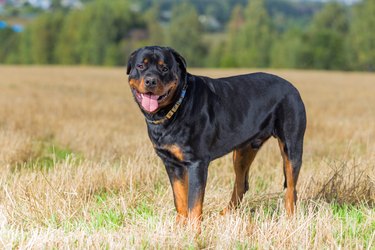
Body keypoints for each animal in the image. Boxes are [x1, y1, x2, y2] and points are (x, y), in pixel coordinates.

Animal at [126, 46, 308, 226]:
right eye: (141, 66)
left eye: (164, 68)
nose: (150, 81)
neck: (175, 108)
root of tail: (292, 88)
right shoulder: (171, 163)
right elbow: (180, 199)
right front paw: (180, 227)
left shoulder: (197, 163)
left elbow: (194, 203)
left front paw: (193, 230)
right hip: (243, 151)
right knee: (241, 184)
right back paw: (225, 215)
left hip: (291, 147)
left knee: (291, 188)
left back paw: (290, 220)